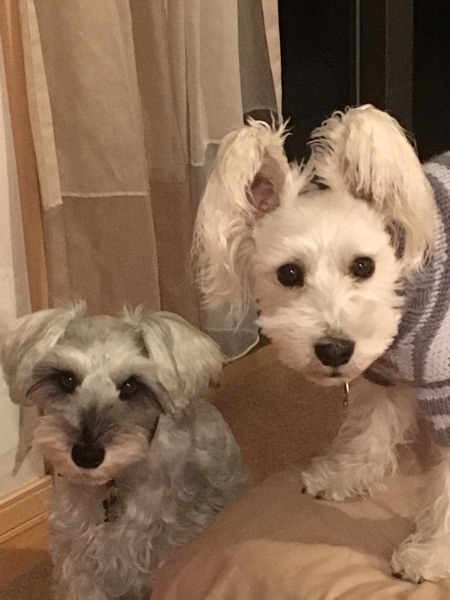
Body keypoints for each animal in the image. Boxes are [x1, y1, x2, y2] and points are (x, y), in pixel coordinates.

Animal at [1, 304, 245, 599]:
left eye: (131, 385)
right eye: (66, 379)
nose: (86, 455)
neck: (116, 482)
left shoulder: (168, 550)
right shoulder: (79, 558)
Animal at [192, 104, 450, 583]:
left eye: (364, 265)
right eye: (289, 273)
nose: (334, 350)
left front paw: (429, 555)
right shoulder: (385, 376)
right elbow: (372, 430)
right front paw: (344, 475)